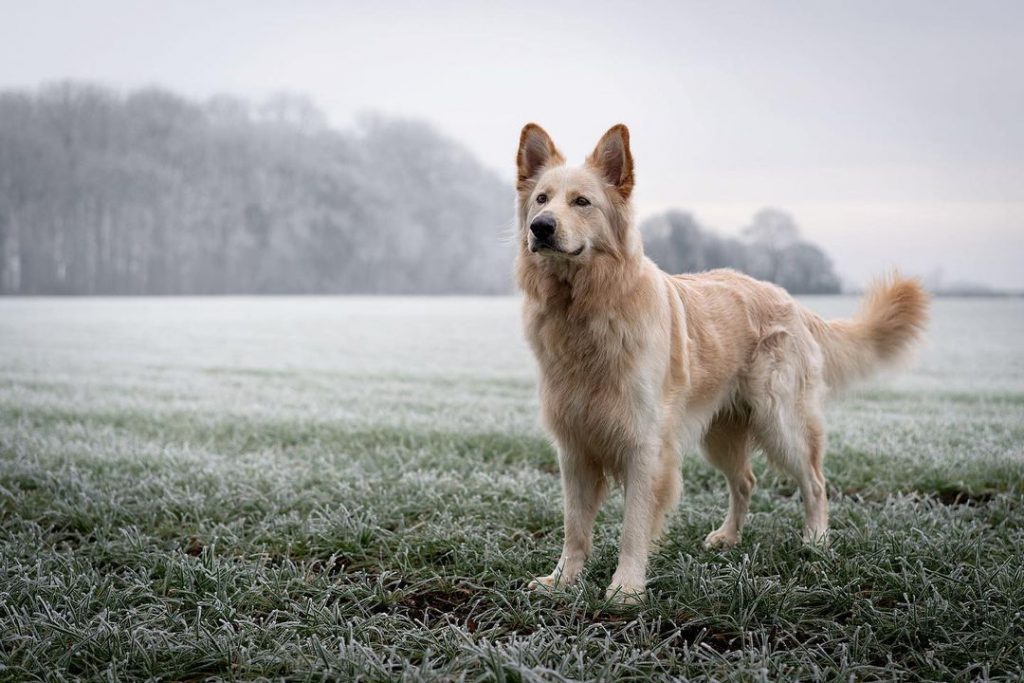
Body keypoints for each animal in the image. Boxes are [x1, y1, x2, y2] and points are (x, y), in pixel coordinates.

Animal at [512, 122, 929, 602]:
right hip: (721, 433)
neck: (585, 309)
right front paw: (563, 580)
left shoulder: (645, 449)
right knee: (745, 481)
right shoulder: (574, 449)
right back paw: (729, 538)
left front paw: (626, 589)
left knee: (816, 482)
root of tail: (788, 299)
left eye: (582, 202)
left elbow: (634, 527)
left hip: (782, 422)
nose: (541, 227)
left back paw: (816, 542)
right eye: (542, 199)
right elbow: (575, 526)